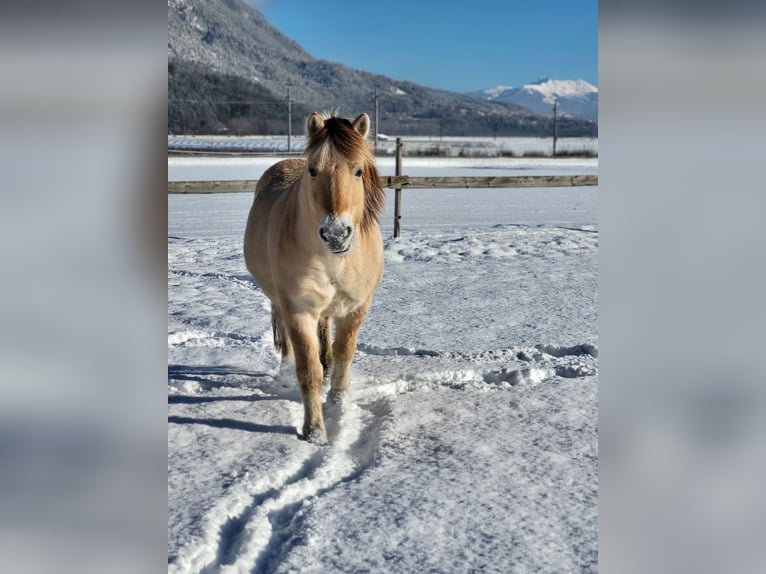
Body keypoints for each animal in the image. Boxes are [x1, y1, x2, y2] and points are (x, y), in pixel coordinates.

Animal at [244, 112, 388, 446]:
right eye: (313, 170)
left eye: (358, 171)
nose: (335, 234)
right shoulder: (299, 310)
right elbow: (308, 370)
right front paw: (315, 432)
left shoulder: (357, 308)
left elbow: (345, 352)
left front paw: (337, 400)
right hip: (280, 302)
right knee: (287, 342)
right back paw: (286, 371)